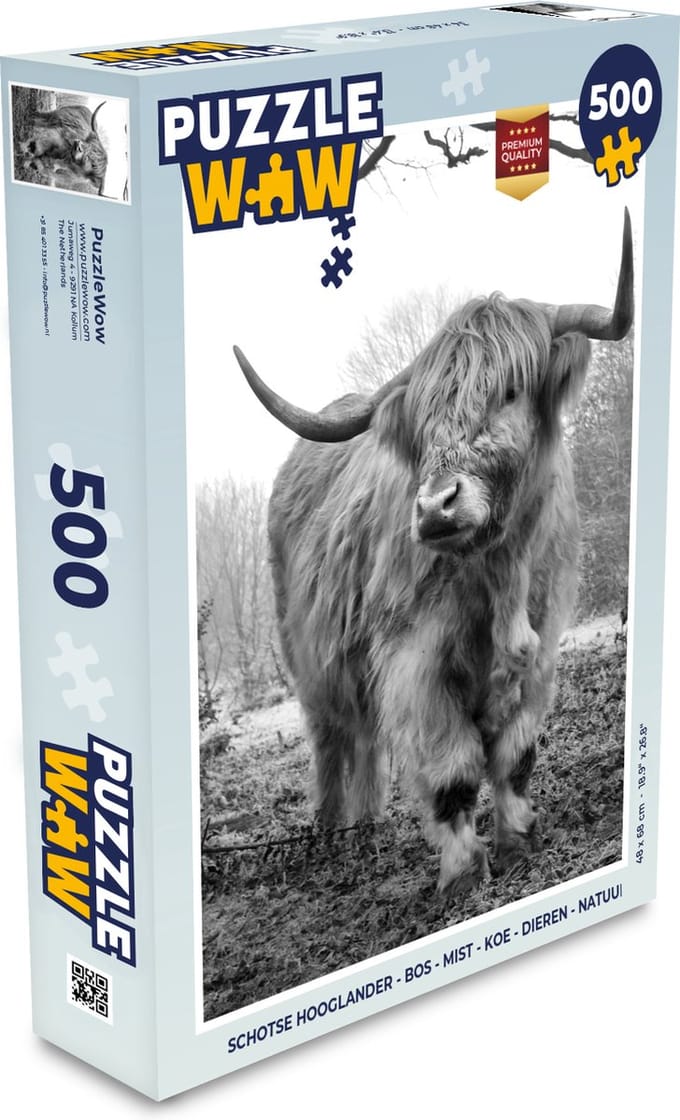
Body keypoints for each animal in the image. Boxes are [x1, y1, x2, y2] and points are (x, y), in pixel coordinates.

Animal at [233, 211, 633, 893]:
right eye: (423, 420)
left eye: (510, 390)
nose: (436, 508)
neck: (500, 574)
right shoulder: (415, 663)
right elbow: (452, 772)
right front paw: (464, 873)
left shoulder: (543, 647)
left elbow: (516, 756)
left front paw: (519, 840)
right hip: (309, 661)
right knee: (333, 743)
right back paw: (331, 836)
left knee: (366, 747)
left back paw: (368, 832)